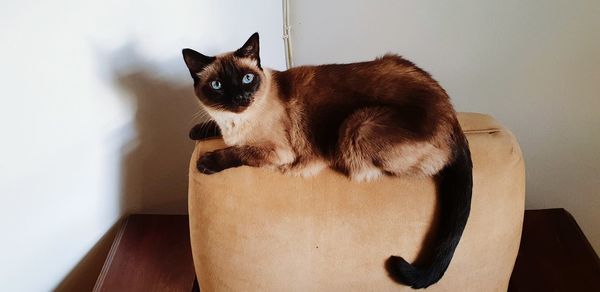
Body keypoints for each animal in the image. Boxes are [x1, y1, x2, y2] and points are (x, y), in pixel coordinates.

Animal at [180, 32, 472, 290]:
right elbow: (212, 129)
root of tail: (453, 118)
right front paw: (195, 131)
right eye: (217, 85)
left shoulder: (277, 152)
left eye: (247, 79)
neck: (236, 122)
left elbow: (237, 152)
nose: (240, 98)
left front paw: (206, 161)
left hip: (356, 126)